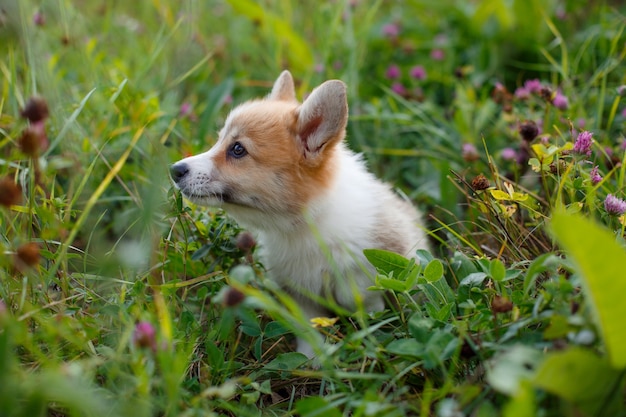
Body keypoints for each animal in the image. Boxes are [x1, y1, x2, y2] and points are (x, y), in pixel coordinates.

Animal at [168, 71, 426, 358]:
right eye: (219, 140)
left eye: (237, 149)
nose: (175, 170)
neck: (301, 227)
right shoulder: (300, 295)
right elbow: (310, 331)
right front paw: (312, 360)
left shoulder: (367, 288)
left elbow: (369, 315)